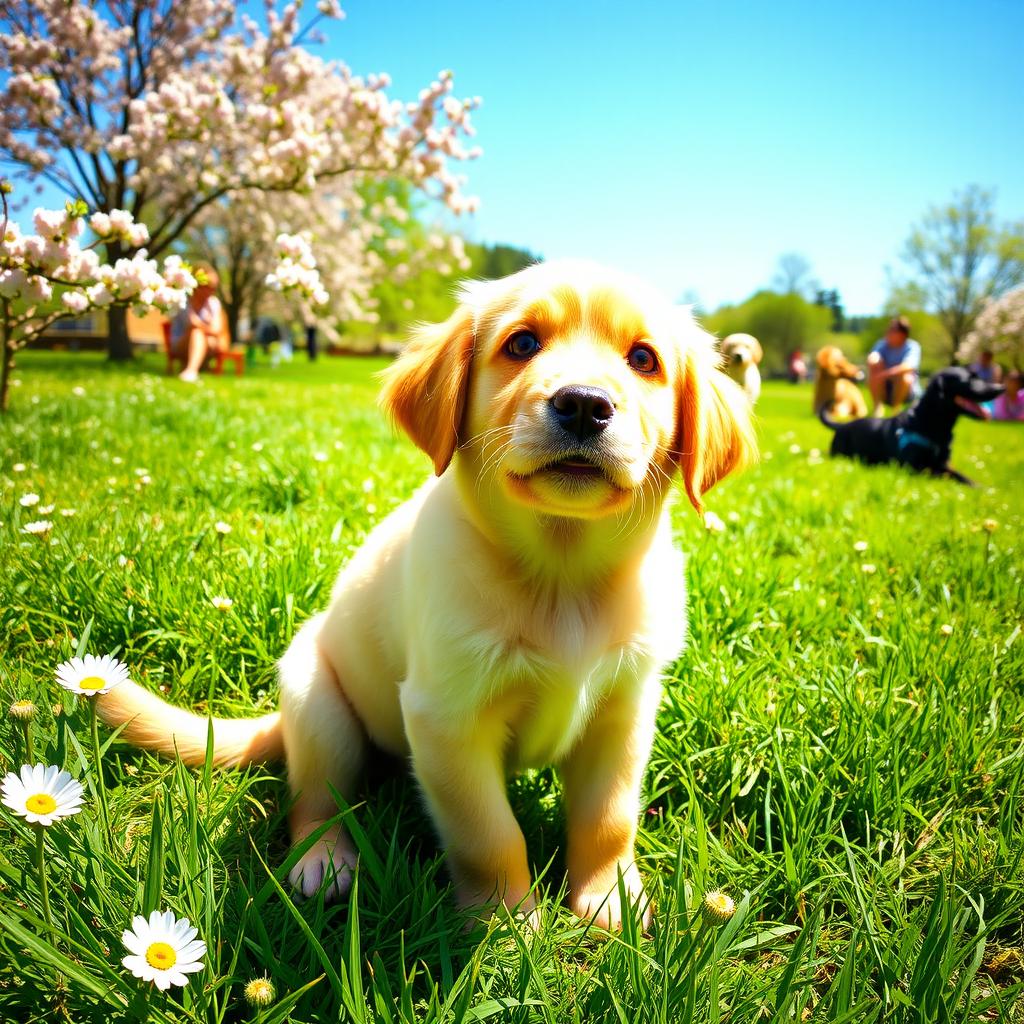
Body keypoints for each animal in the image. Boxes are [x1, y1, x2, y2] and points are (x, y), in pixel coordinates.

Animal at [96, 262, 757, 929]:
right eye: (522, 343)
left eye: (644, 359)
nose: (583, 404)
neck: (561, 573)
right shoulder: (446, 720)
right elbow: (489, 833)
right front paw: (506, 922)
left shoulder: (624, 710)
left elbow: (609, 816)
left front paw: (610, 898)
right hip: (319, 706)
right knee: (315, 801)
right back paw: (323, 863)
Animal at [819, 366, 1003, 485]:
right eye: (969, 380)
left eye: (978, 376)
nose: (1000, 387)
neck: (936, 428)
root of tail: (843, 426)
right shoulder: (913, 468)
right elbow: (938, 474)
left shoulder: (944, 464)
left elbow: (963, 477)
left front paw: (983, 488)